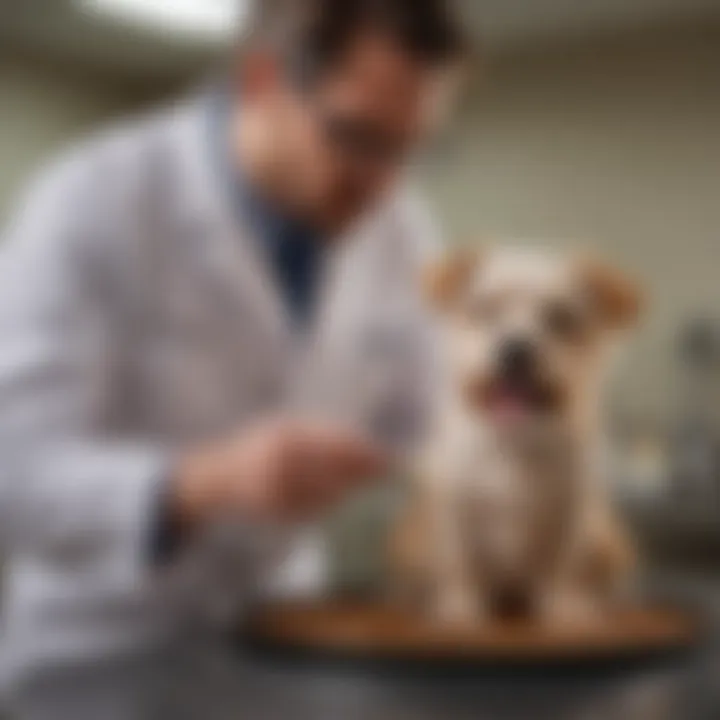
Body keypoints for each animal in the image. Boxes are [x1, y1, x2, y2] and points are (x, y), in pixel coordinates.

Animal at [390, 246, 640, 624]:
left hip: (609, 541)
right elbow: (460, 563)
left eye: (561, 318)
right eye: (484, 308)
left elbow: (563, 564)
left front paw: (564, 607)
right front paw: (461, 609)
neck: (514, 443)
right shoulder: (455, 511)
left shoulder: (572, 513)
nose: (516, 348)